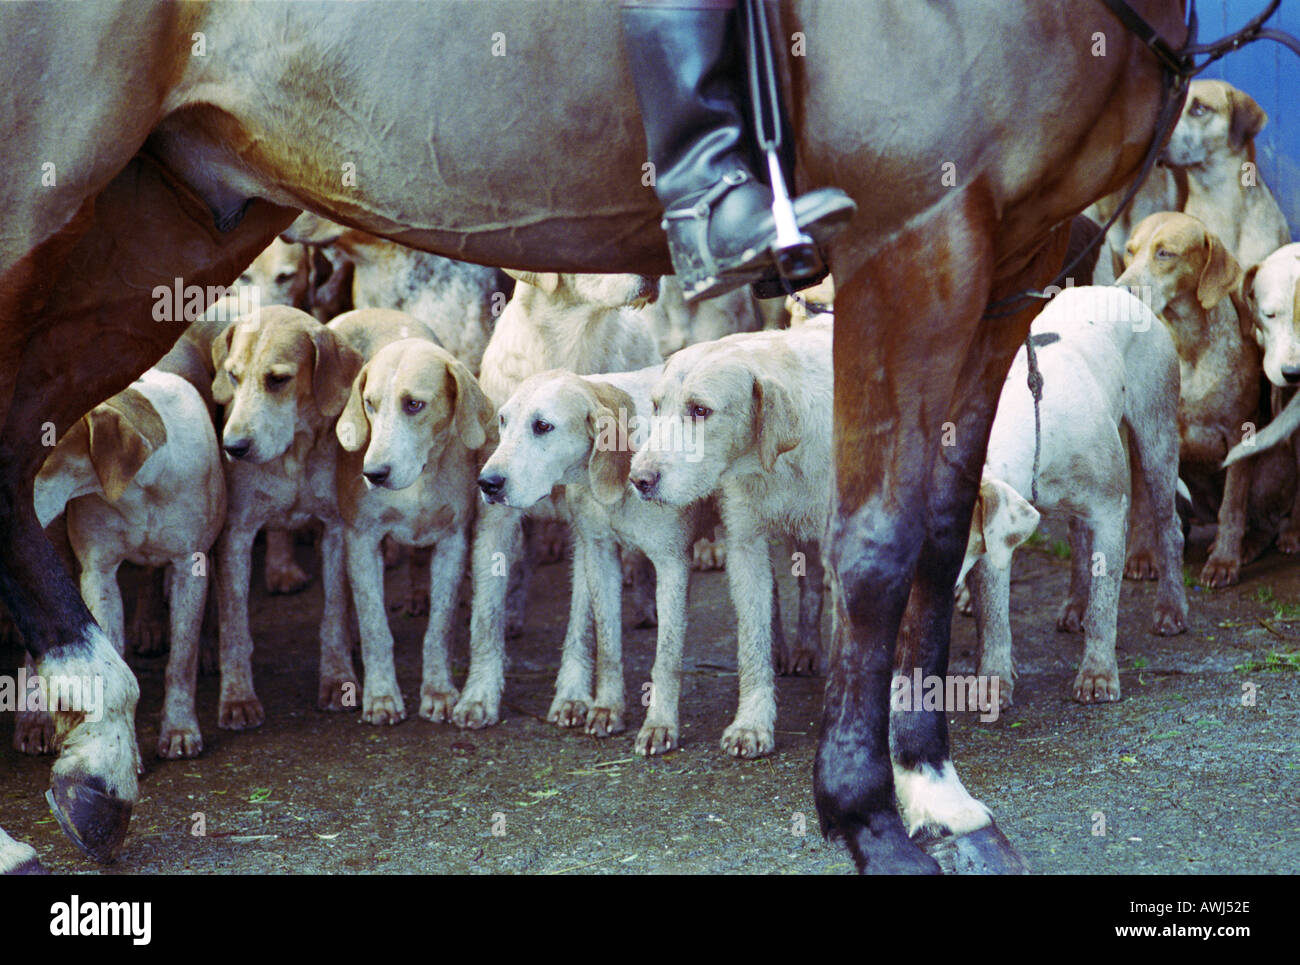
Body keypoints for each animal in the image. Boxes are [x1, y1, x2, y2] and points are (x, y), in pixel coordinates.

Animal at [0, 1, 1190, 879]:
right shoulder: (914, 240)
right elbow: (878, 545)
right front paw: (868, 818)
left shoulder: (1010, 263)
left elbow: (940, 535)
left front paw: (937, 795)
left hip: (149, 222)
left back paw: (96, 749)